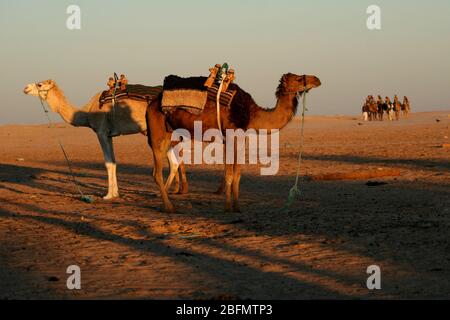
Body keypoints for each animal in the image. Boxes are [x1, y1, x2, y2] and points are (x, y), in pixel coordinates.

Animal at [23, 79, 188, 199]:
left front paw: (108, 195)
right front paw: (115, 193)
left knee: (174, 161)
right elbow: (113, 163)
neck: (87, 112)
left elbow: (108, 163)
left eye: (39, 84)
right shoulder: (109, 135)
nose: (25, 88)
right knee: (174, 162)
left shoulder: (101, 131)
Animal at [146, 72, 322, 212]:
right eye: (298, 78)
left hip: (169, 132)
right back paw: (169, 207)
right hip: (156, 133)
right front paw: (228, 207)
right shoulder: (231, 136)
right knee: (156, 172)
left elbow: (236, 173)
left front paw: (236, 206)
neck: (252, 113)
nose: (317, 79)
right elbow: (230, 174)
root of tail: (151, 104)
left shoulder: (238, 137)